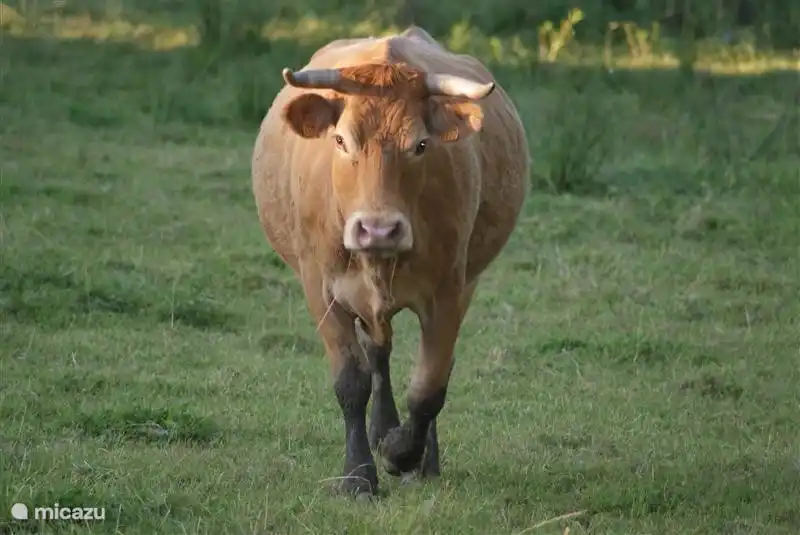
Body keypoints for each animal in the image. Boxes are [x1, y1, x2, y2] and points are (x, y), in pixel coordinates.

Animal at [251, 25, 529, 498]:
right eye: (341, 140)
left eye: (420, 144)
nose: (378, 230)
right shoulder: (320, 288)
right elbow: (352, 381)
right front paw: (359, 474)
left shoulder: (449, 291)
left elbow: (429, 386)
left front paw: (402, 453)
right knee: (378, 354)